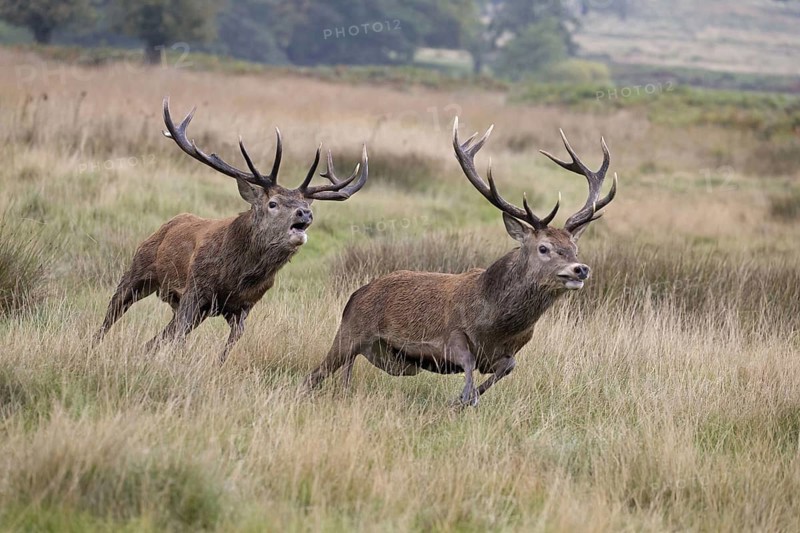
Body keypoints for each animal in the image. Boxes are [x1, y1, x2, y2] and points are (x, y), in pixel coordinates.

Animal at [94, 98, 368, 363]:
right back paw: (93, 345)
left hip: (192, 308)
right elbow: (180, 337)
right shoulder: (194, 289)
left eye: (306, 205)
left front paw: (216, 365)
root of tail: (168, 224)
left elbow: (227, 347)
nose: (305, 213)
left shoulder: (244, 306)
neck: (236, 275)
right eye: (273, 203)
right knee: (111, 315)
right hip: (138, 270)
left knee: (157, 338)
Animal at [303, 117, 617, 406]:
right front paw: (464, 397)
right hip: (349, 333)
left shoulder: (509, 352)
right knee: (312, 376)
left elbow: (507, 367)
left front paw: (466, 398)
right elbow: (466, 361)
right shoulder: (451, 334)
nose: (580, 269)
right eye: (544, 248)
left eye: (574, 247)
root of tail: (357, 294)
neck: (495, 324)